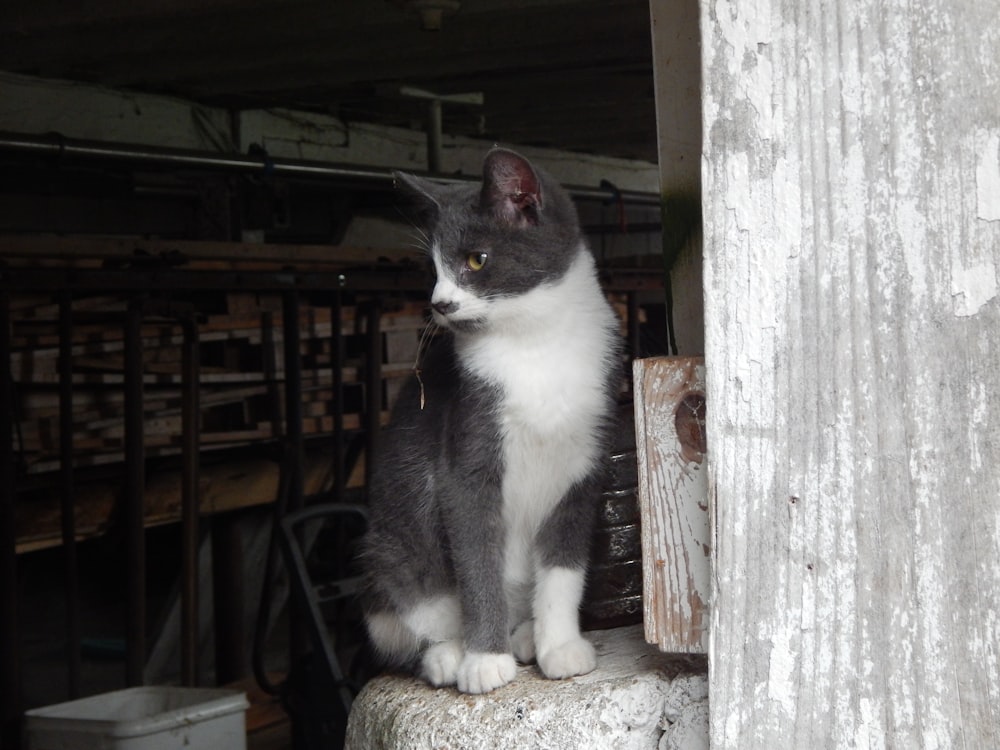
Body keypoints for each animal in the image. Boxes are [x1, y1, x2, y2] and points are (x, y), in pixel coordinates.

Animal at [360, 148, 620, 700]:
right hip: (389, 551)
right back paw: (447, 655)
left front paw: (560, 645)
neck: (535, 344)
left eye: (476, 260)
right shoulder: (466, 455)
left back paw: (525, 635)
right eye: (433, 269)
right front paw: (484, 659)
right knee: (407, 618)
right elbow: (476, 556)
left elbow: (564, 563)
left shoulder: (584, 468)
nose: (439, 303)